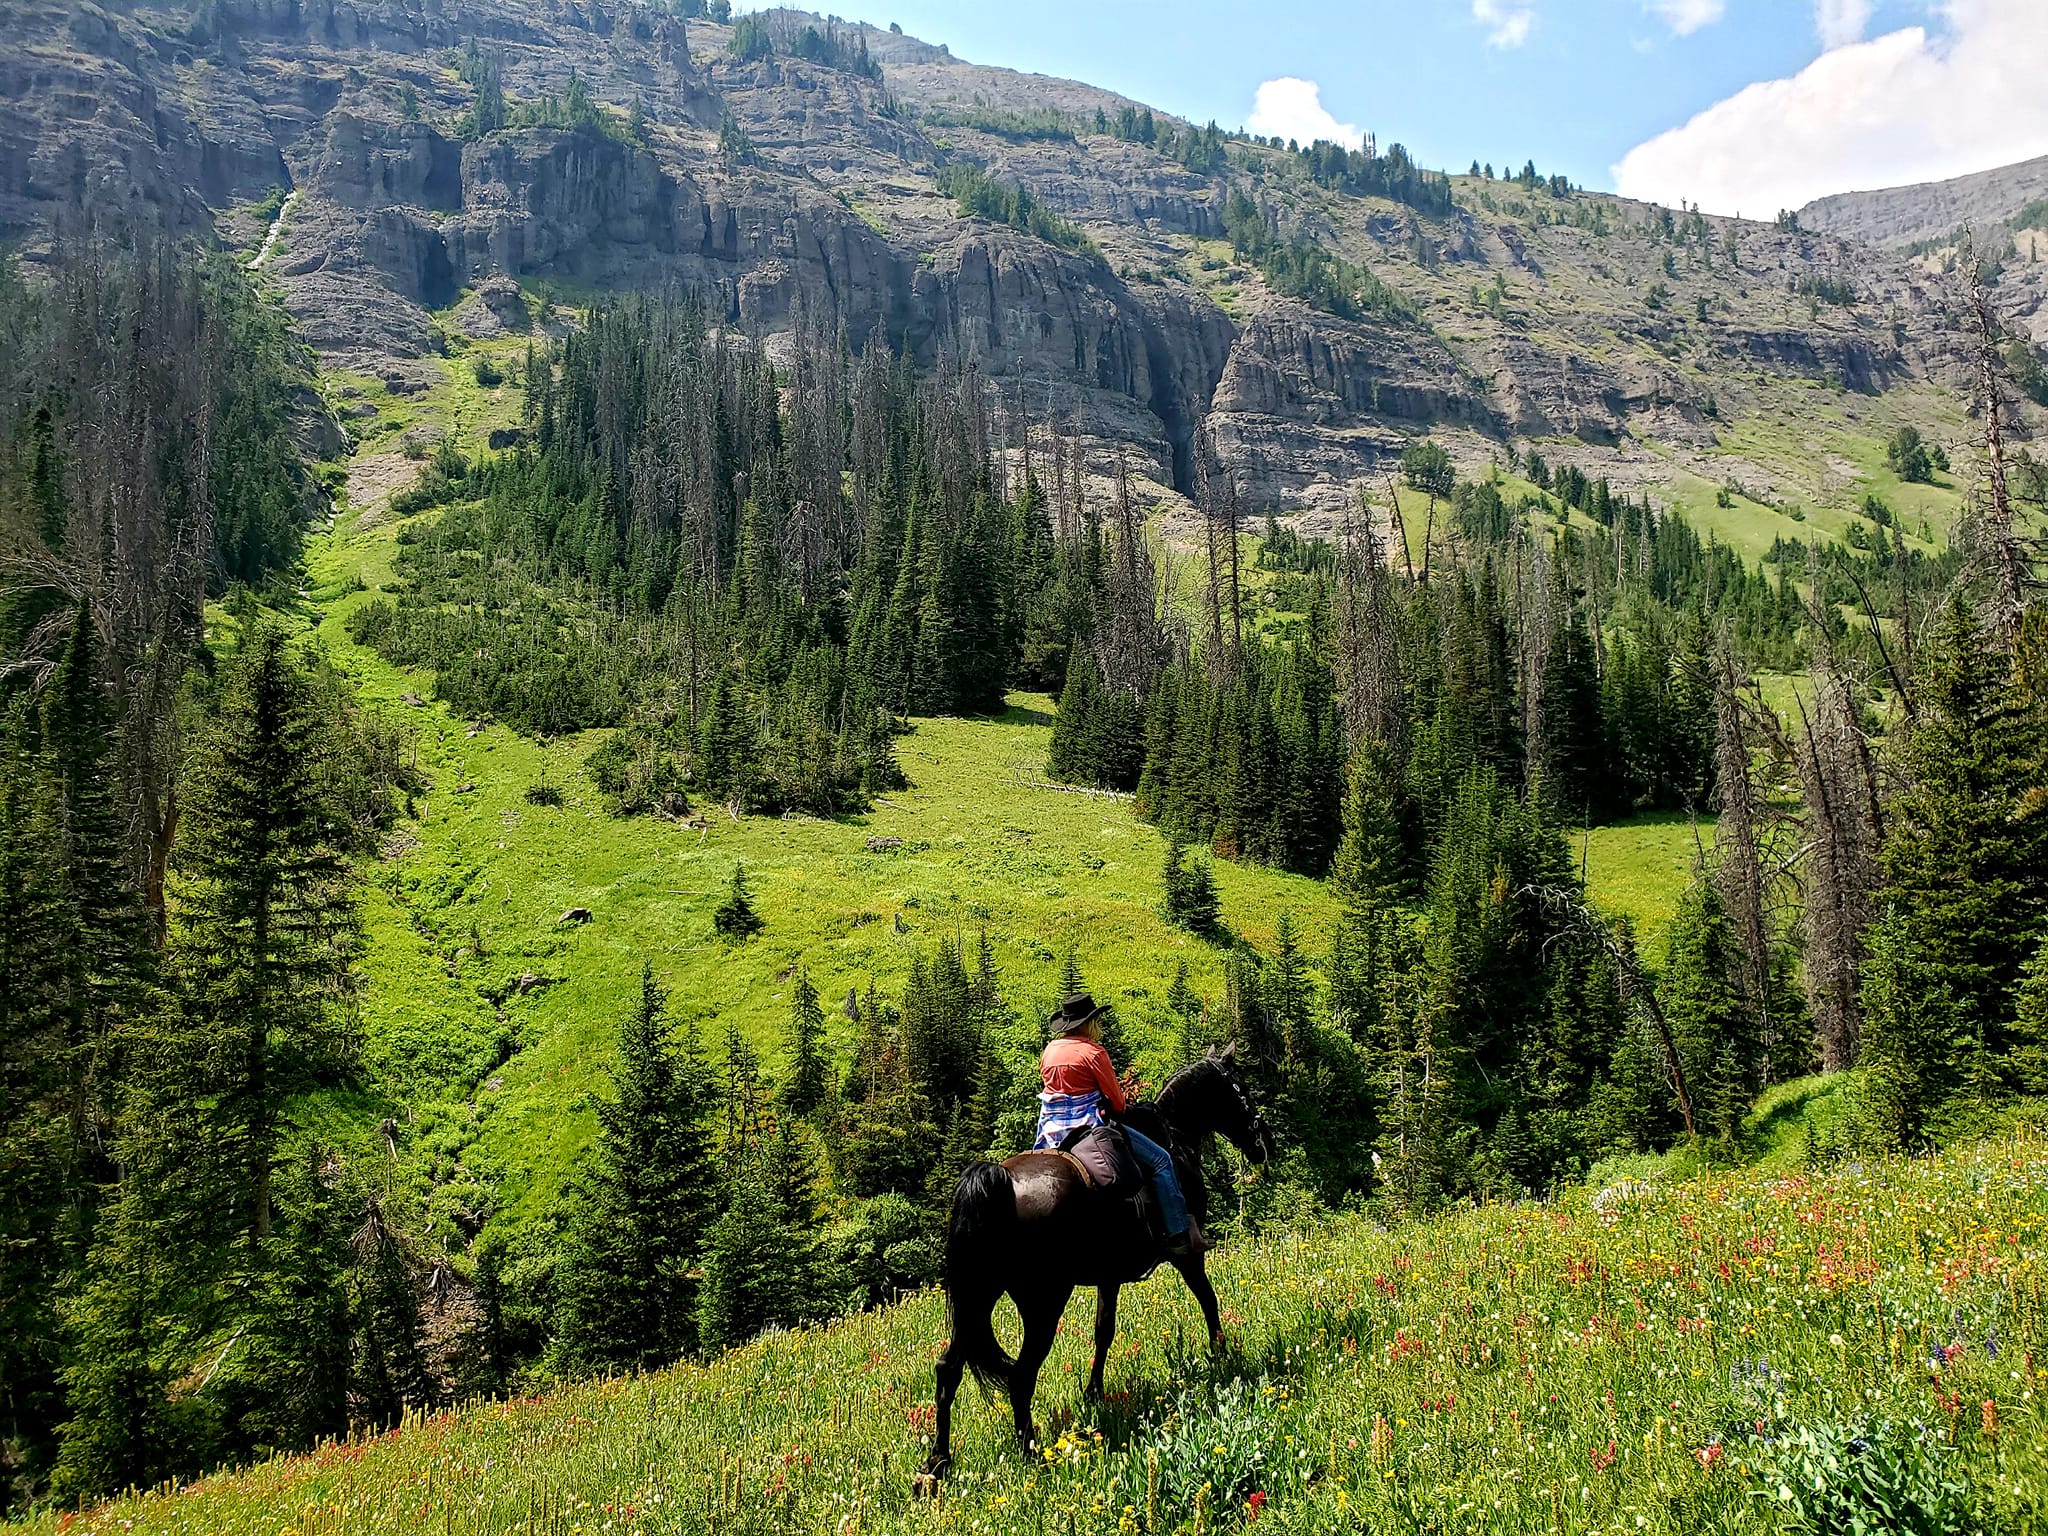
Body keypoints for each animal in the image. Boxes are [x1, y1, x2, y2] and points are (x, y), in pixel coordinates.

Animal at [921, 1040, 1269, 1482]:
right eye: (1241, 1090)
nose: (1263, 1143)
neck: (1175, 1135)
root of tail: (999, 1179)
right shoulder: (1186, 1253)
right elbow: (1208, 1299)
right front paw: (1221, 1355)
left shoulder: (1110, 1274)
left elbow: (1104, 1330)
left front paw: (1094, 1393)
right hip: (1044, 1301)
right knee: (1020, 1375)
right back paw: (1030, 1454)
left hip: (977, 1297)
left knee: (949, 1368)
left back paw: (937, 1464)